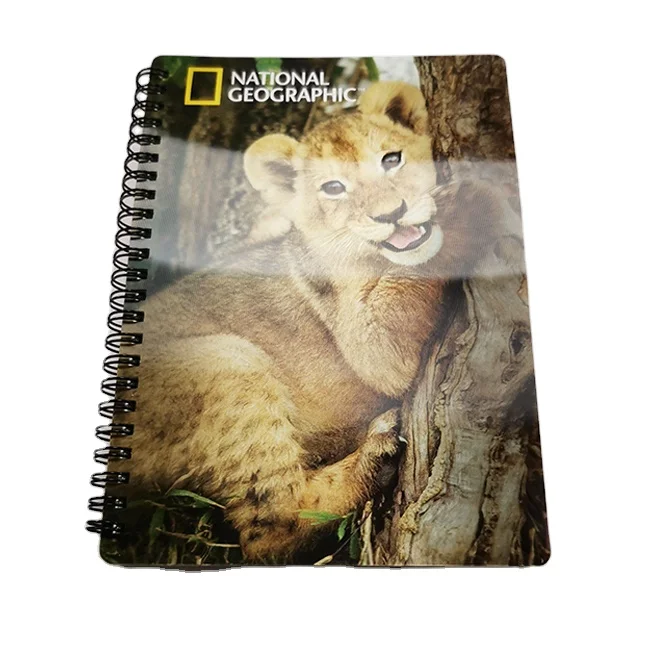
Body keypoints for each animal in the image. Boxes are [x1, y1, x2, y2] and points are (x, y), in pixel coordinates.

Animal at [109, 81, 501, 562]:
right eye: (333, 188)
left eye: (391, 159)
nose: (391, 213)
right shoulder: (370, 346)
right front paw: (469, 204)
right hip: (226, 360)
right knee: (270, 533)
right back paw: (377, 452)